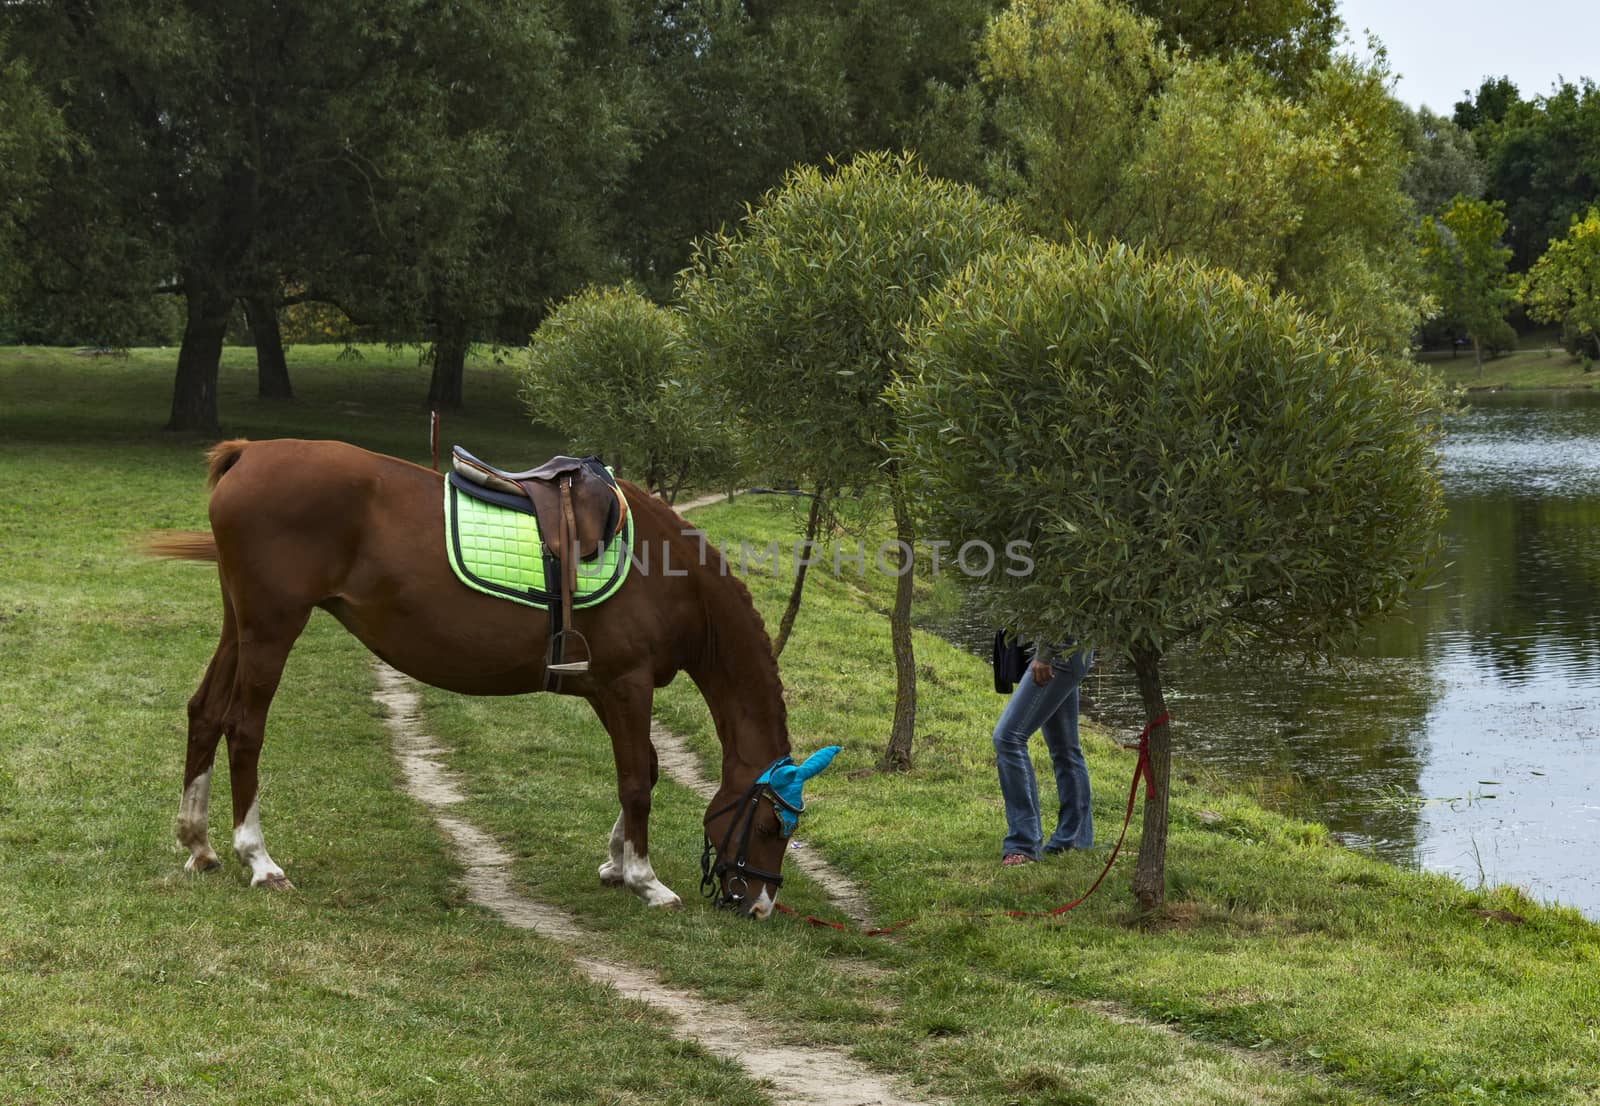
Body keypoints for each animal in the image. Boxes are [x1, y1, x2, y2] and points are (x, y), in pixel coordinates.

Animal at [147, 438, 825, 915]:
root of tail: (250, 453)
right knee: (245, 729)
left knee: (206, 712)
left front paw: (614, 864)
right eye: (771, 825)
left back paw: (199, 843)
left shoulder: (604, 689)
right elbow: (637, 780)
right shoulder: (627, 686)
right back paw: (258, 859)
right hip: (271, 629)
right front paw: (644, 879)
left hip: (240, 625)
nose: (758, 905)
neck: (673, 572)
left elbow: (647, 771)